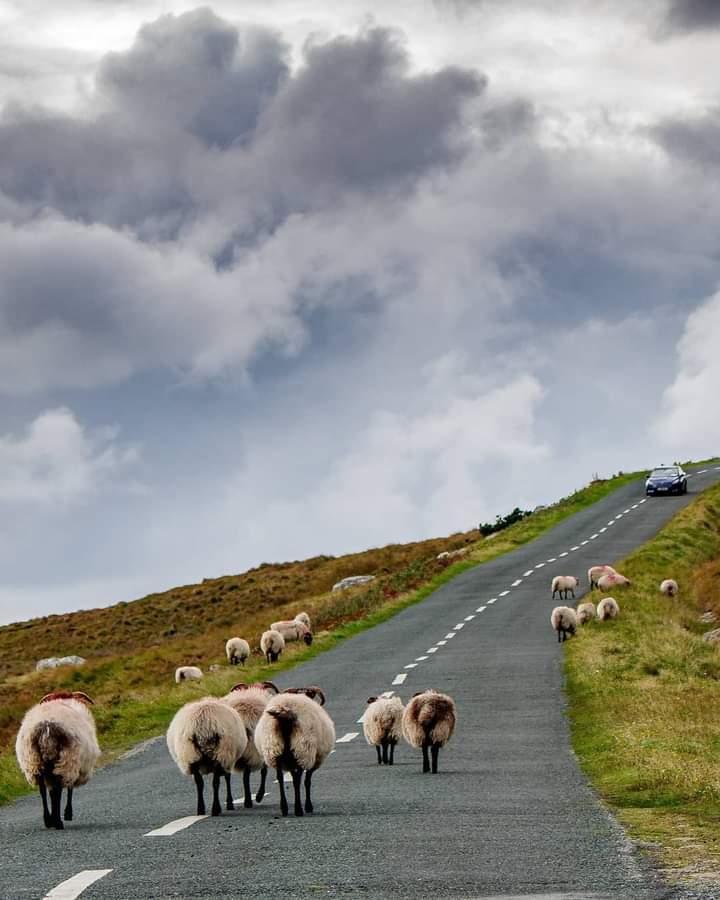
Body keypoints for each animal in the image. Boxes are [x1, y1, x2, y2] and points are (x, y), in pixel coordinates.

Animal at [14, 692, 100, 832]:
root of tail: (46, 727)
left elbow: (51, 792)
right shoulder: (75, 765)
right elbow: (68, 790)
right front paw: (68, 813)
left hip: (35, 762)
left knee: (43, 791)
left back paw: (48, 820)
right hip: (66, 760)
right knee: (58, 790)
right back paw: (58, 822)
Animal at [255, 684, 336, 820]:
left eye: (311, 694)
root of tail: (286, 713)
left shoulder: (290, 761)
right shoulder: (312, 760)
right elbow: (307, 781)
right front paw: (308, 806)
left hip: (275, 749)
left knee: (280, 778)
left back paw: (284, 808)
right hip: (302, 750)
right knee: (297, 780)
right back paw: (298, 809)